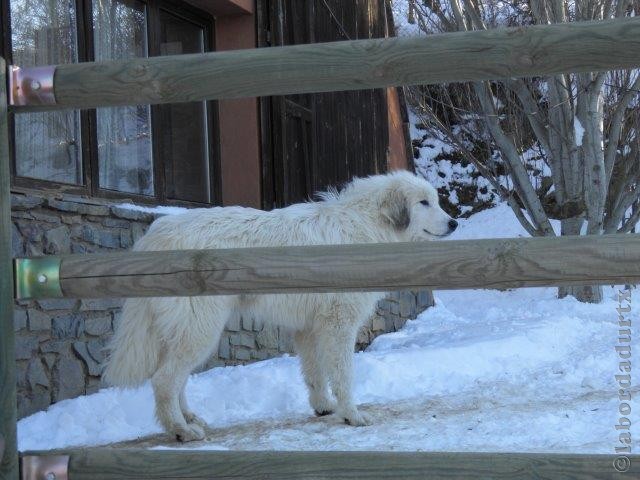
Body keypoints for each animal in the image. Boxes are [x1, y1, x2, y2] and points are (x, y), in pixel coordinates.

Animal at [104, 171, 456, 440]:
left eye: (435, 200)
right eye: (424, 202)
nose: (454, 223)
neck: (365, 225)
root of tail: (155, 233)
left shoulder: (309, 328)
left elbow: (315, 373)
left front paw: (323, 407)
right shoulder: (338, 324)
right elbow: (343, 374)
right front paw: (351, 415)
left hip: (185, 331)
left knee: (175, 378)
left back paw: (189, 418)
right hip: (200, 329)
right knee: (164, 379)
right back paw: (180, 430)